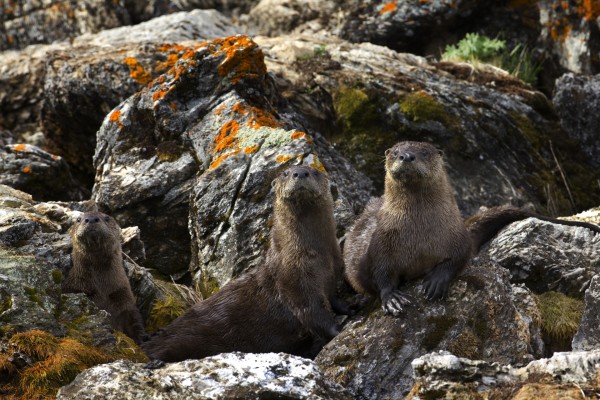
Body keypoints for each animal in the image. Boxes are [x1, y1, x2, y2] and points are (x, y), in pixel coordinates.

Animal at [63, 212, 146, 344]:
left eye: (106, 218)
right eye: (78, 219)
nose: (91, 219)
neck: (101, 288)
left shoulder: (124, 296)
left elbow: (135, 319)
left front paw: (142, 337)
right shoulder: (73, 288)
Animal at [141, 166, 346, 362]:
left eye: (315, 172)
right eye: (286, 173)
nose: (300, 173)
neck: (315, 255)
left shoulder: (333, 272)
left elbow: (333, 297)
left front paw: (346, 307)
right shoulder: (295, 281)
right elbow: (313, 313)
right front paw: (338, 330)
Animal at [342, 141, 600, 316]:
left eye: (424, 152)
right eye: (395, 152)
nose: (407, 156)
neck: (419, 233)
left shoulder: (457, 234)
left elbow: (460, 257)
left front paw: (436, 280)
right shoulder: (382, 241)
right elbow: (381, 272)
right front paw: (391, 298)